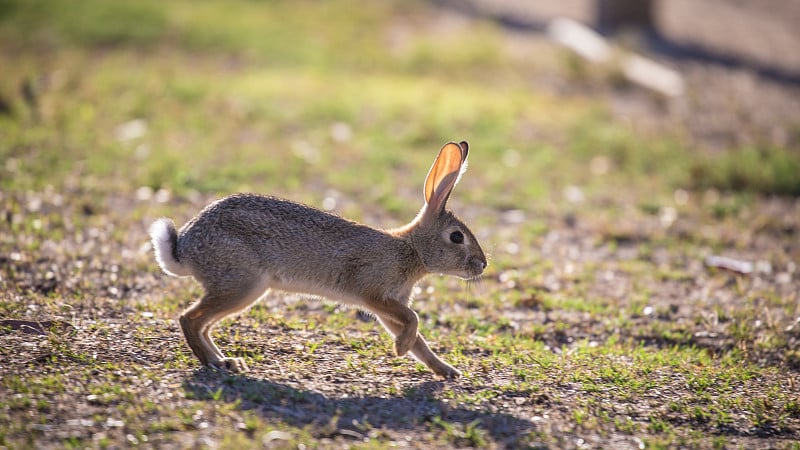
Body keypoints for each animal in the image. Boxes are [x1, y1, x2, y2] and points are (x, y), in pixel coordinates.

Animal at [150, 140, 488, 376]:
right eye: (456, 237)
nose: (483, 264)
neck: (412, 250)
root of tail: (186, 248)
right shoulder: (375, 294)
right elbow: (413, 320)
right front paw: (401, 349)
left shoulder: (390, 306)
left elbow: (418, 338)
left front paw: (446, 370)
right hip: (242, 283)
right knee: (190, 319)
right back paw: (215, 363)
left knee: (203, 324)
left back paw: (225, 361)